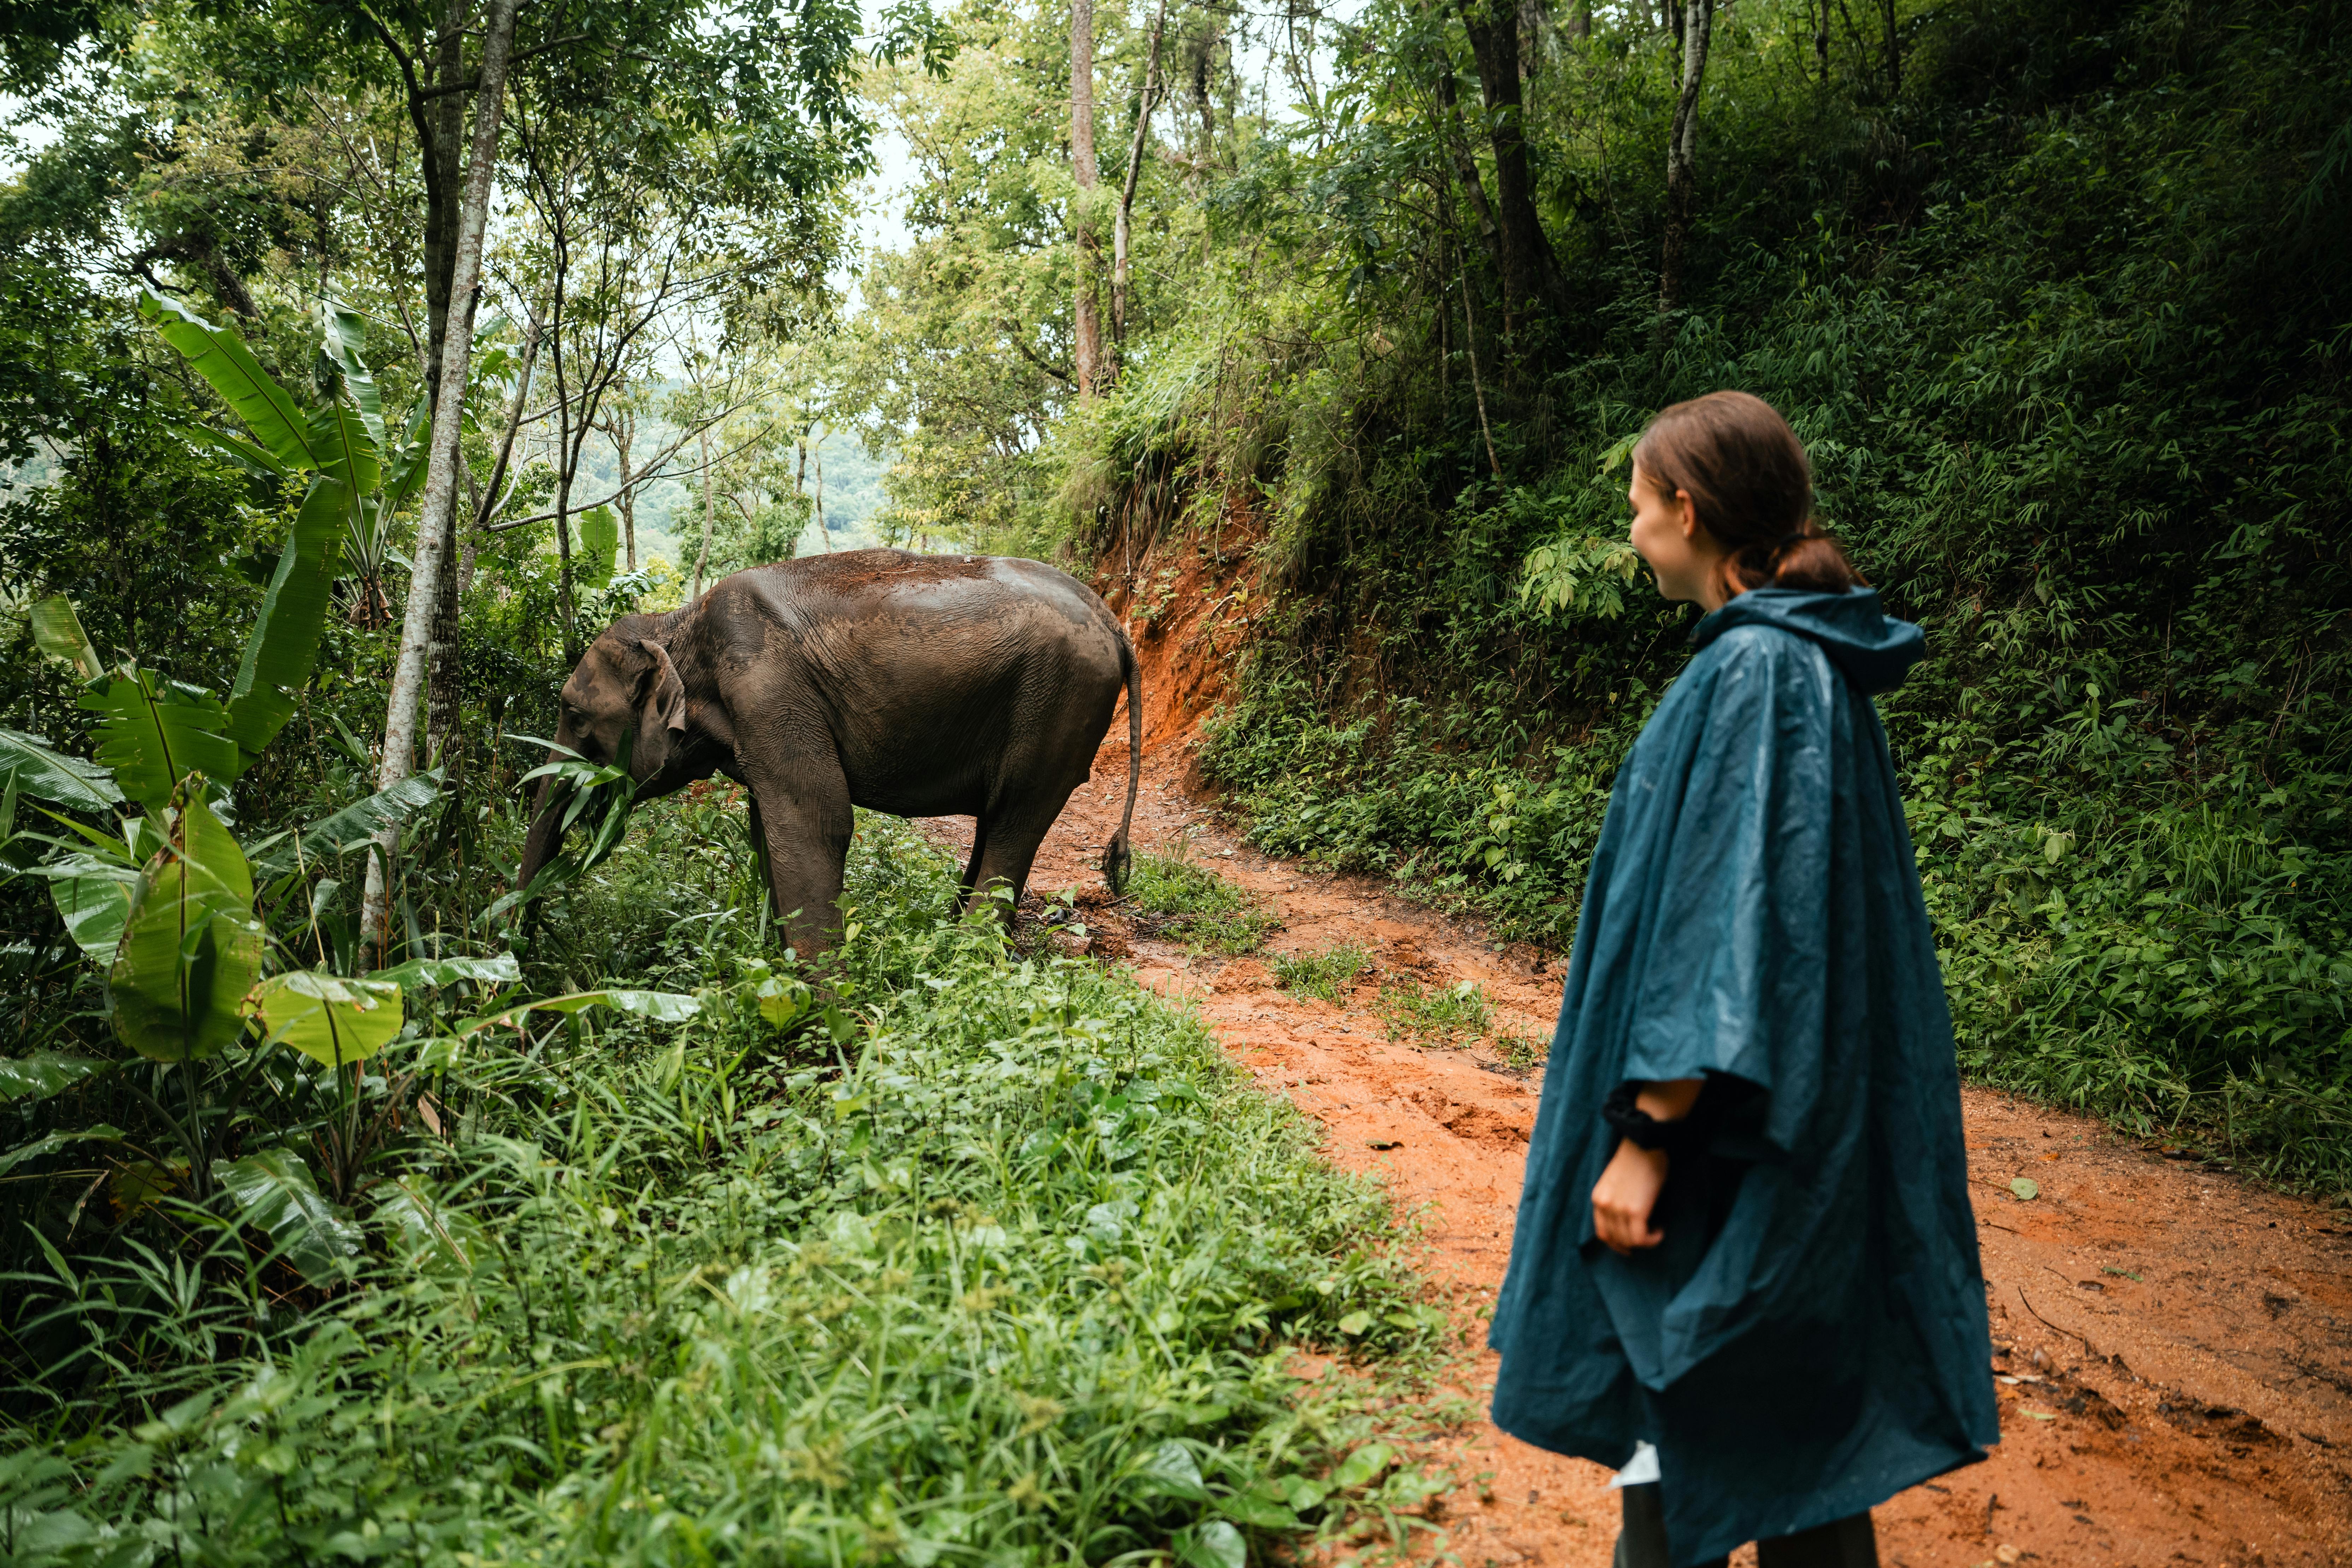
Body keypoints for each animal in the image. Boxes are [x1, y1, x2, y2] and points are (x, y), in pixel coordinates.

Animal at [515, 548, 1142, 954]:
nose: (525, 952)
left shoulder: (768, 687)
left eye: (574, 716)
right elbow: (768, 830)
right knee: (997, 819)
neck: (680, 622)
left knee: (1016, 819)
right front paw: (778, 962)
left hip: (1060, 704)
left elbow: (818, 821)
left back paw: (968, 957)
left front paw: (822, 1011)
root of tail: (1115, 624)